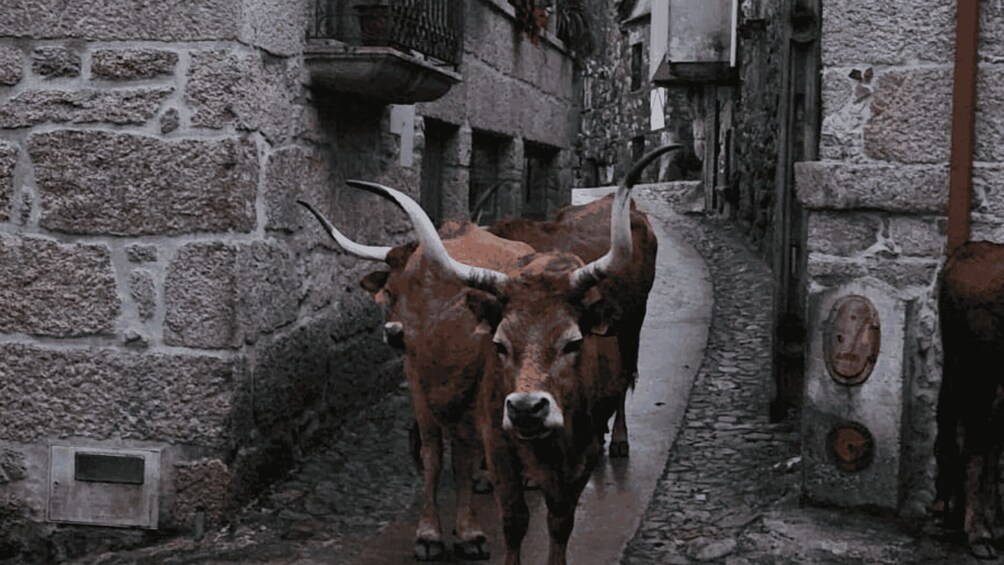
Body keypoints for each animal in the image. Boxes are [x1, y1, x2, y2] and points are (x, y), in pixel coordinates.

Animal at [297, 200, 534, 557]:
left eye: (433, 290)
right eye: (389, 292)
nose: (394, 333)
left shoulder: (476, 390)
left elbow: (463, 455)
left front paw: (469, 532)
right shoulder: (418, 384)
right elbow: (432, 454)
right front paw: (429, 534)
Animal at [351, 147, 674, 565]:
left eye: (573, 342)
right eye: (500, 344)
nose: (525, 408)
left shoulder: (580, 450)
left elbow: (561, 520)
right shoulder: (497, 437)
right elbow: (514, 517)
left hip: (632, 324)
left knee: (626, 379)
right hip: (422, 380)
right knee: (435, 452)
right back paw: (433, 533)